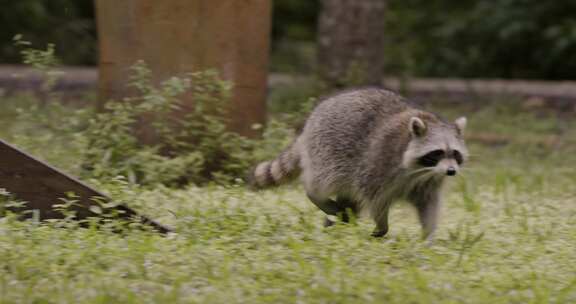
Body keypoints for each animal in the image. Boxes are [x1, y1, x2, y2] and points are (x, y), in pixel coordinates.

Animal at [249, 86, 468, 239]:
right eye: (437, 153)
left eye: (455, 153)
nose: (451, 171)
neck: (421, 170)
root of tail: (310, 122)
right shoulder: (379, 162)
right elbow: (374, 197)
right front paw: (382, 224)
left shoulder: (428, 182)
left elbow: (429, 204)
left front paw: (428, 235)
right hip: (327, 150)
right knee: (322, 182)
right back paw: (317, 196)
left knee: (348, 196)